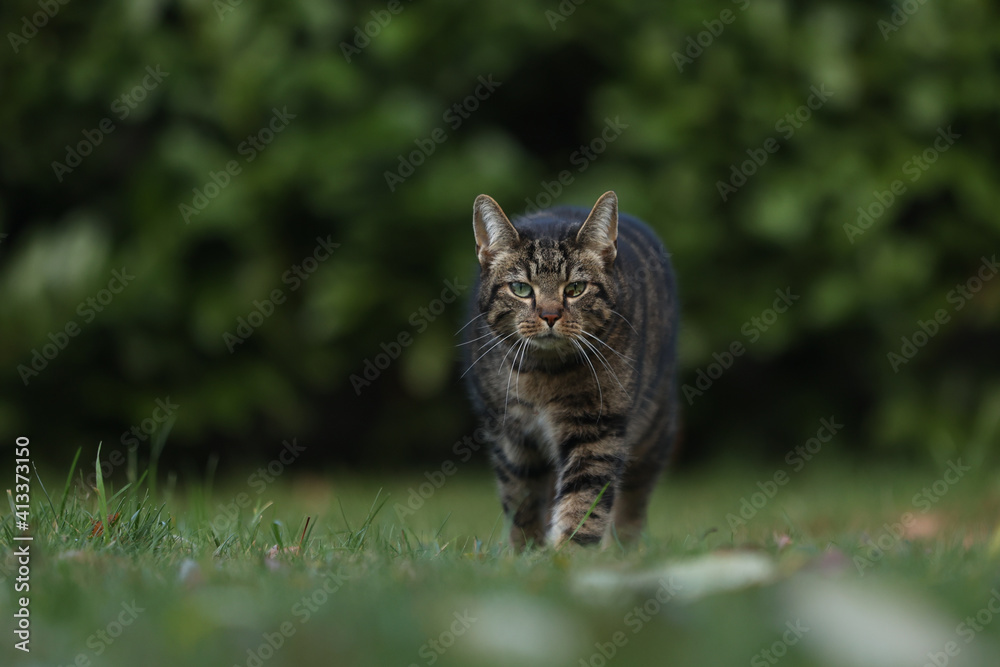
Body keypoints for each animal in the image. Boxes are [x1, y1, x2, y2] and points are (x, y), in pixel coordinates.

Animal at [462, 192, 680, 548]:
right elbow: (522, 502)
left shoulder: (596, 430)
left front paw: (567, 555)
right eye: (521, 289)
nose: (550, 315)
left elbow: (582, 505)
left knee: (633, 502)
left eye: (575, 288)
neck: (543, 373)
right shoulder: (510, 437)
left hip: (655, 428)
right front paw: (528, 552)